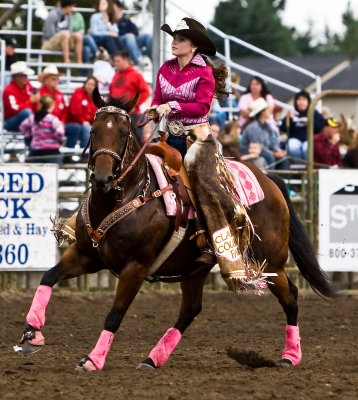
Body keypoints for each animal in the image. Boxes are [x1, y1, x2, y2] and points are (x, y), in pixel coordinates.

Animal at [18, 90, 338, 372]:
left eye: (123, 133)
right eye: (94, 131)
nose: (102, 179)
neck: (128, 195)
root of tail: (270, 179)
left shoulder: (136, 266)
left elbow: (114, 315)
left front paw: (92, 360)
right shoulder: (87, 255)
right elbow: (48, 277)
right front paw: (32, 334)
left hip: (270, 261)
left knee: (291, 296)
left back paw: (290, 356)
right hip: (195, 268)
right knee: (191, 309)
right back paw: (152, 359)